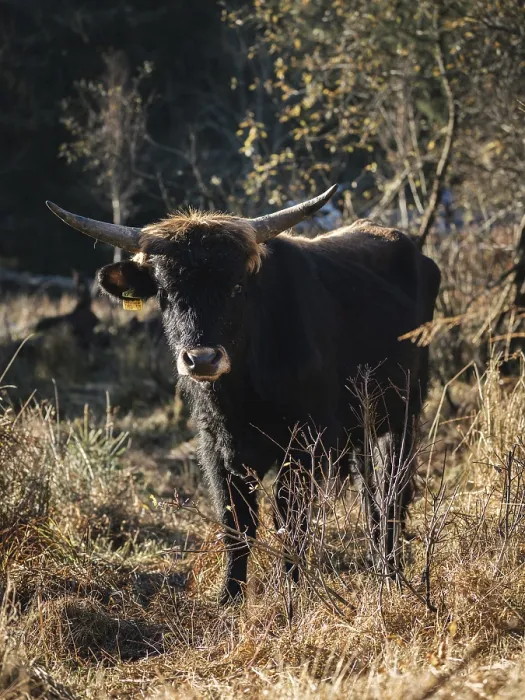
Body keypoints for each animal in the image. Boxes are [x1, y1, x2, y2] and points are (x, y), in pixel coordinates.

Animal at [46, 187, 441, 603]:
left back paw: (391, 571)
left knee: (393, 490)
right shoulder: (218, 449)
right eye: (165, 293)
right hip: (360, 429)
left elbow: (290, 520)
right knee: (370, 493)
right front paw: (228, 597)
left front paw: (290, 593)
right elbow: (236, 523)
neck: (243, 394)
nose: (202, 358)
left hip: (403, 415)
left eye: (236, 287)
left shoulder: (306, 445)